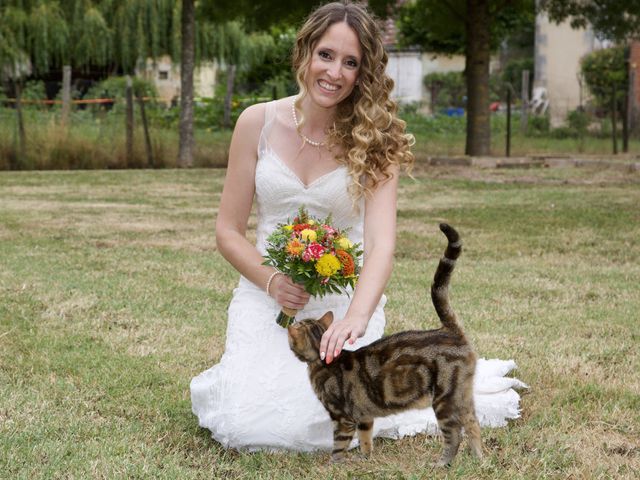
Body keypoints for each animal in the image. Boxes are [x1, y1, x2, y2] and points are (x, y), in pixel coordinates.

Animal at [288, 224, 480, 464]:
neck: (323, 361)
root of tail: (449, 330)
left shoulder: (342, 417)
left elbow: (339, 445)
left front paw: (334, 464)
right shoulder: (364, 416)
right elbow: (365, 439)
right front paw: (365, 458)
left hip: (445, 399)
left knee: (454, 434)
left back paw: (442, 463)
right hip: (462, 396)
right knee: (473, 426)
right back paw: (479, 459)